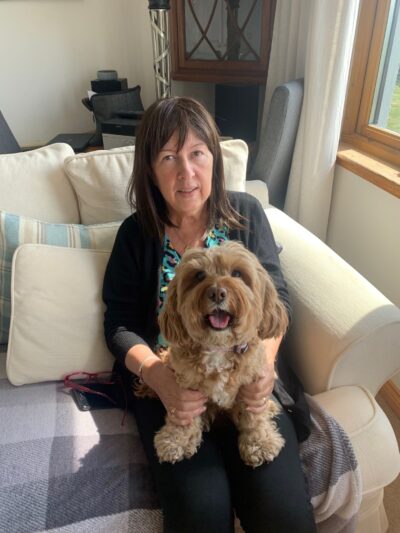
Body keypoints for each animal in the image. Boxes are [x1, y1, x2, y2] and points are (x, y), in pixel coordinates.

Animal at [145, 240, 290, 466]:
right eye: (198, 275)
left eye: (237, 273)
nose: (217, 292)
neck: (218, 347)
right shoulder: (186, 388)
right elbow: (184, 416)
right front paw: (176, 440)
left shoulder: (252, 385)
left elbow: (254, 417)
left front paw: (260, 442)